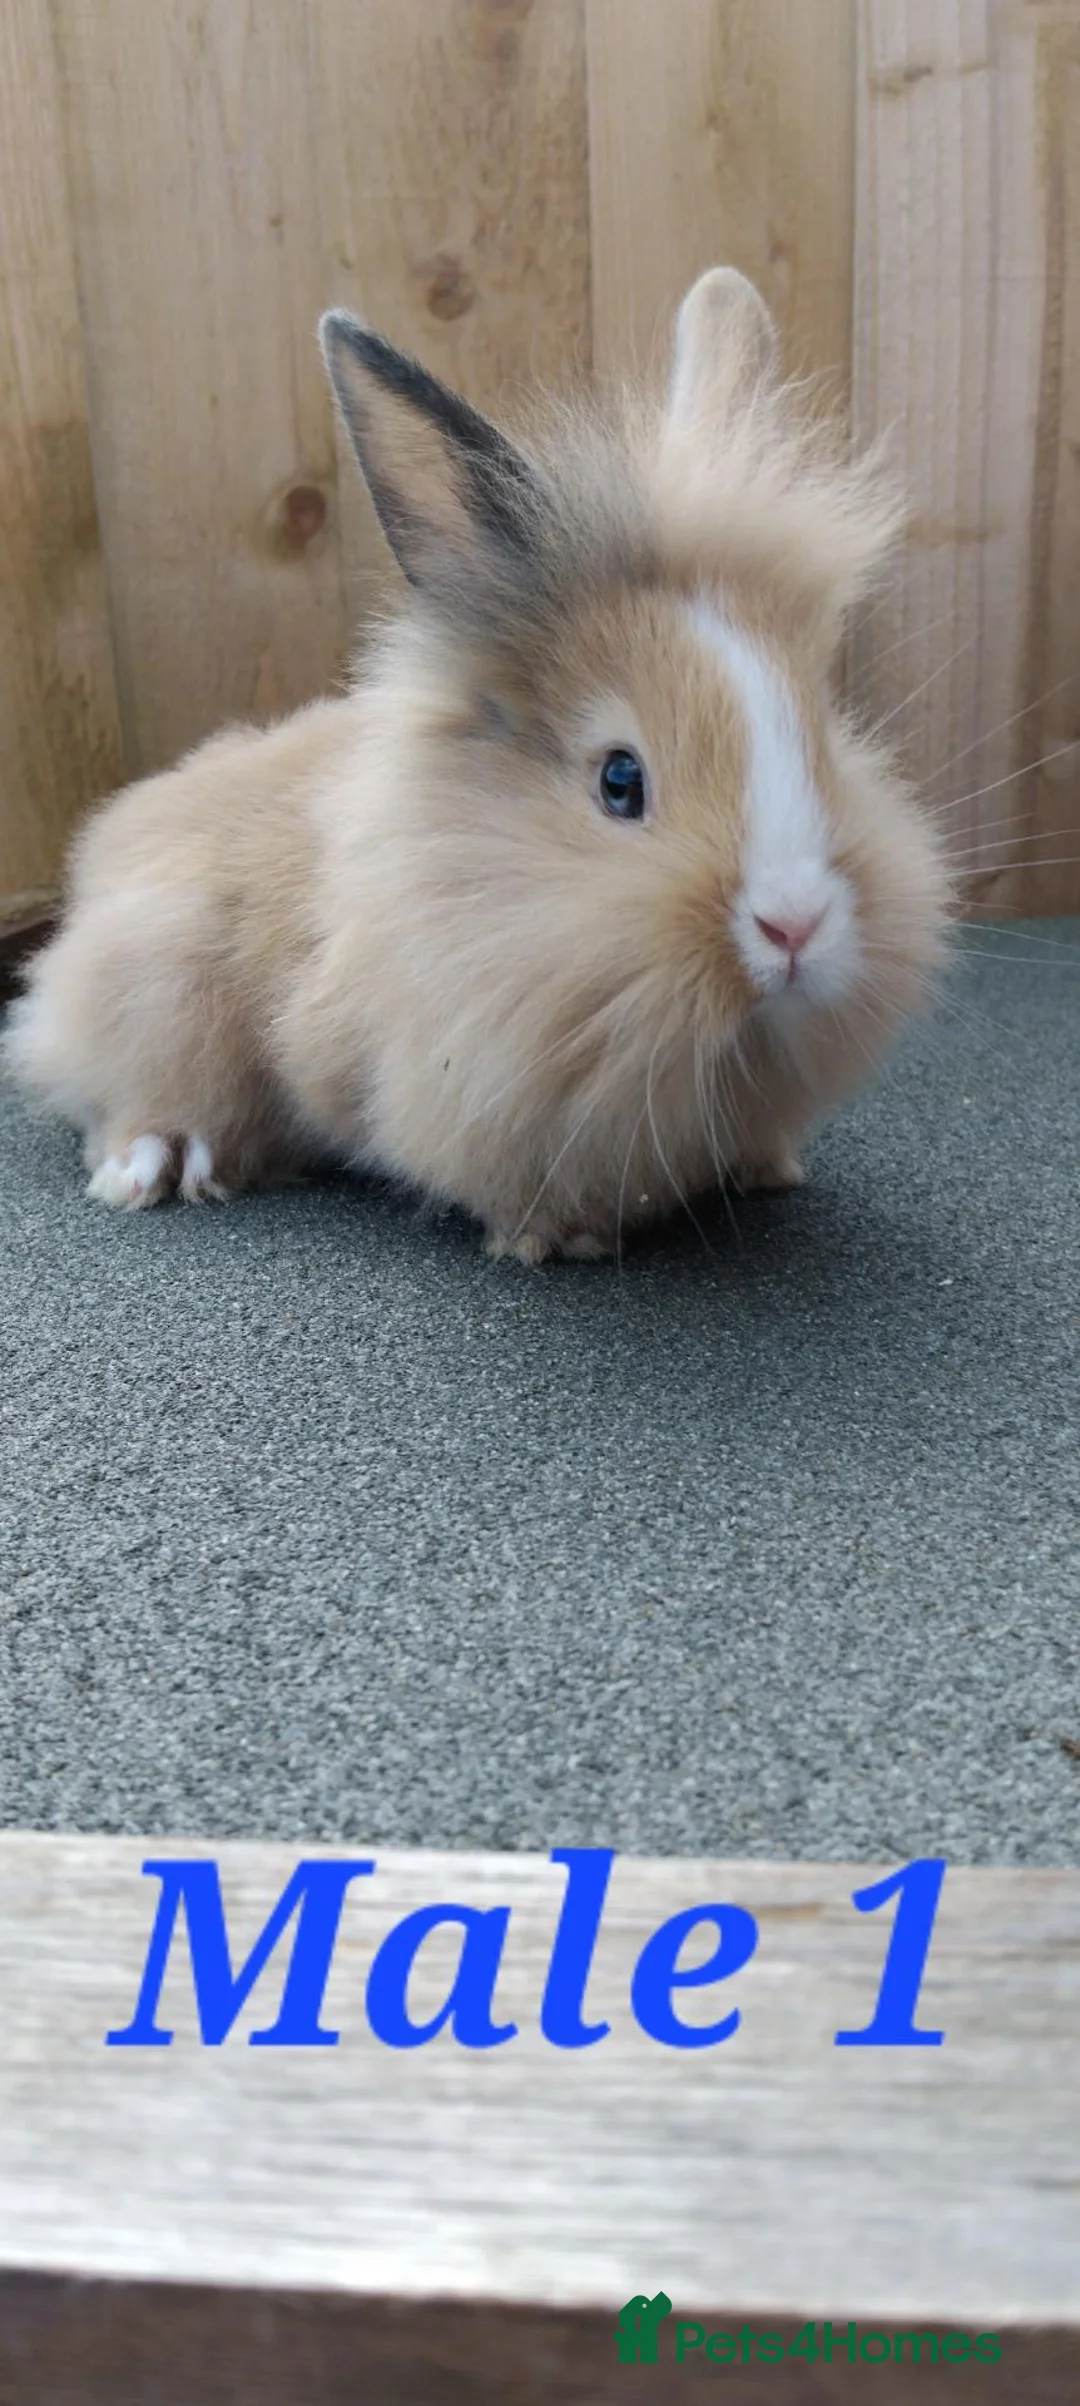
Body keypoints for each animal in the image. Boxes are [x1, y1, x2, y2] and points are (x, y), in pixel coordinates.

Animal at [4, 268, 952, 1263]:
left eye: (823, 736)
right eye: (620, 781)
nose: (795, 926)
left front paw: (765, 1170)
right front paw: (563, 1238)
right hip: (153, 979)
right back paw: (154, 1166)